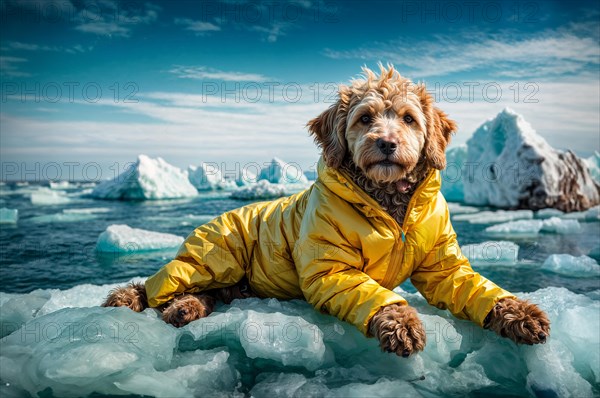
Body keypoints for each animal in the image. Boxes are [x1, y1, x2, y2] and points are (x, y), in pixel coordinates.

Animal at [103, 66, 548, 358]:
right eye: (365, 117)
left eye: (408, 118)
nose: (386, 143)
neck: (390, 207)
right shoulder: (332, 268)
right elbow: (376, 296)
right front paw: (402, 323)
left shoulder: (442, 261)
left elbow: (473, 286)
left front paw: (521, 313)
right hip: (214, 256)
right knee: (160, 284)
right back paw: (138, 298)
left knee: (205, 294)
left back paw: (186, 309)